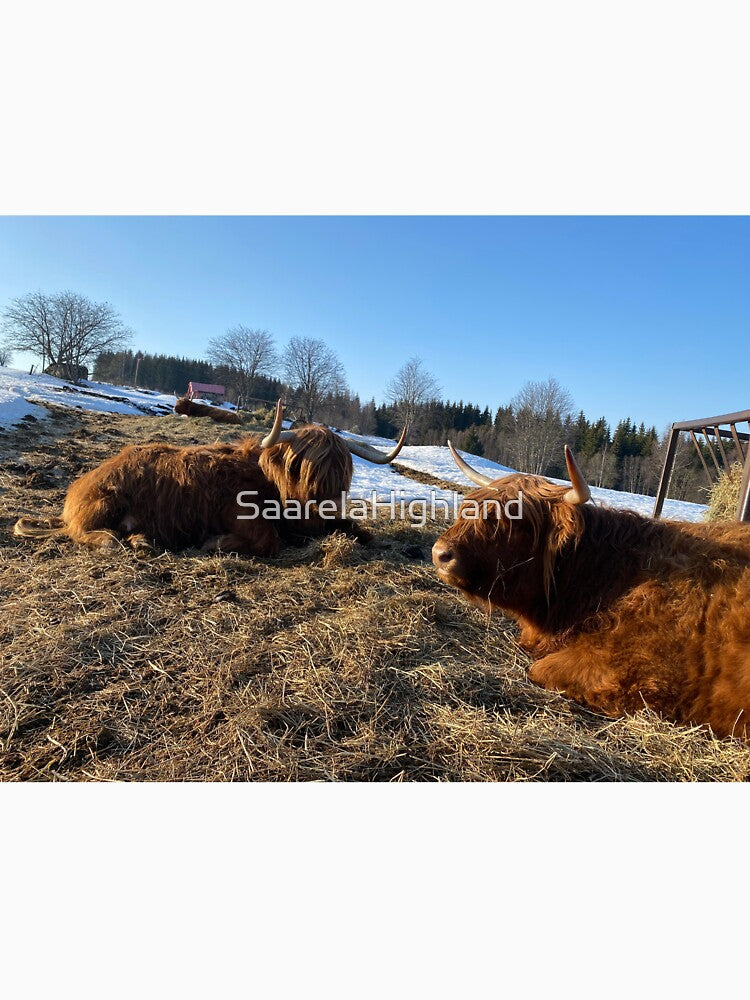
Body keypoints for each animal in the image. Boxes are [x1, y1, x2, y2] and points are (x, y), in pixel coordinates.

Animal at [14, 400, 407, 557]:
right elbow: (267, 540)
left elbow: (360, 530)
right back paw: (120, 540)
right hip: (105, 501)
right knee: (87, 533)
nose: (326, 505)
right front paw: (213, 543)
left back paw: (143, 540)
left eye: (343, 472)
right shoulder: (241, 513)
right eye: (303, 467)